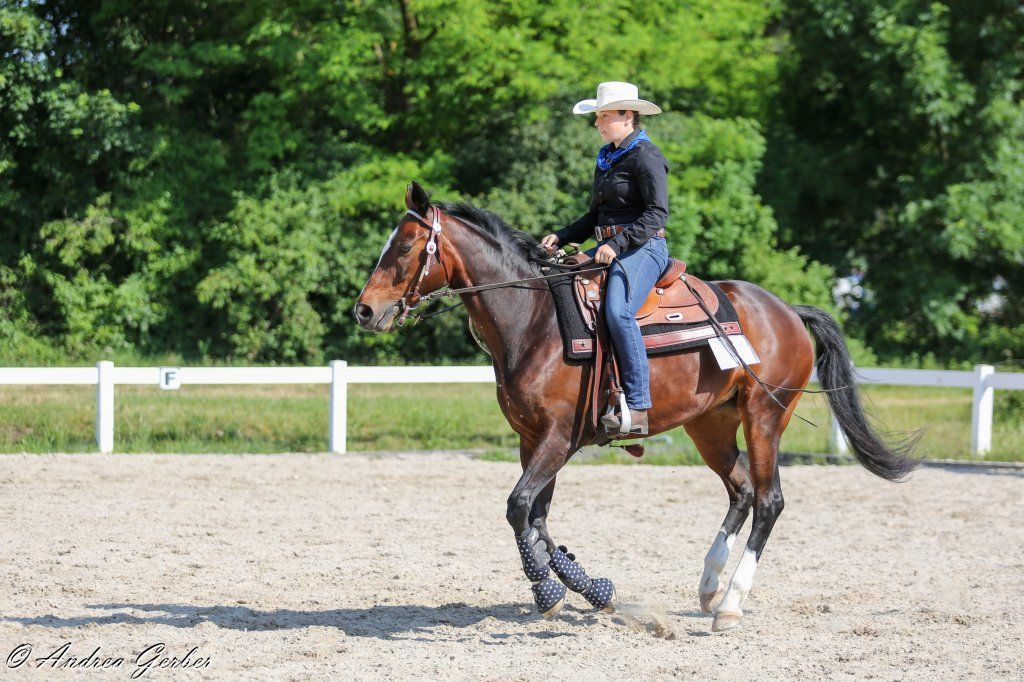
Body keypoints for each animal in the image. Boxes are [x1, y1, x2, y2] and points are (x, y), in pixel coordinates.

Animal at [354, 182, 918, 633]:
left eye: (404, 246)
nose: (364, 310)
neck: (534, 321)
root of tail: (787, 311)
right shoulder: (531, 440)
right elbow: (536, 517)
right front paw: (587, 590)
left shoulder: (558, 439)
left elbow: (518, 507)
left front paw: (552, 591)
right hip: (711, 425)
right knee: (739, 490)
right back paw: (708, 585)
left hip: (764, 417)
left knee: (768, 500)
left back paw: (730, 605)